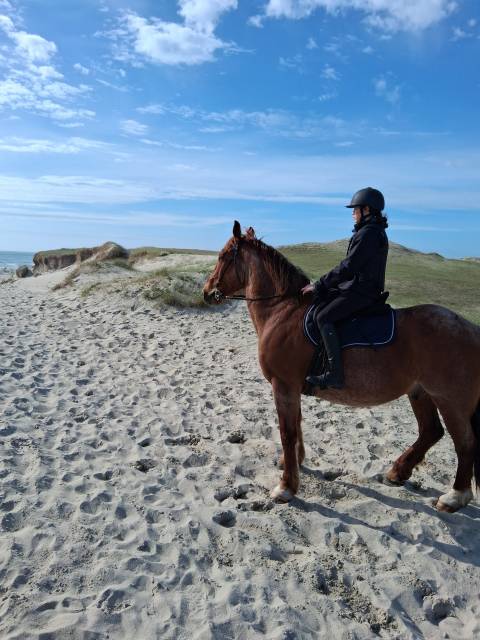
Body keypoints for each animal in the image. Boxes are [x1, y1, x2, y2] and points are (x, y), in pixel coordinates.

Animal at [203, 221, 480, 513]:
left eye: (223, 256)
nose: (207, 292)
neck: (283, 311)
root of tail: (471, 329)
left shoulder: (283, 386)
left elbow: (287, 432)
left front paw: (286, 487)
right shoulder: (292, 388)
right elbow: (297, 425)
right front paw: (296, 463)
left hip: (450, 401)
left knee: (465, 443)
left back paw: (454, 496)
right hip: (420, 393)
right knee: (431, 431)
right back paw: (397, 472)